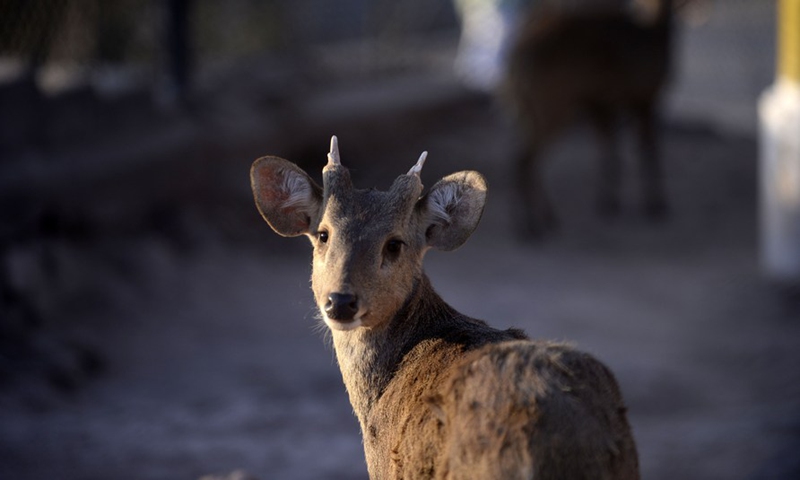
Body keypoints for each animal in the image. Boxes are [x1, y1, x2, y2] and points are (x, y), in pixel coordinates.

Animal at [504, 0, 680, 234]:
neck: (656, 34)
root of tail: (517, 55)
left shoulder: (600, 104)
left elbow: (610, 149)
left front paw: (609, 202)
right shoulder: (644, 96)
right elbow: (648, 149)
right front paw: (656, 204)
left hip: (530, 109)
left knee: (526, 159)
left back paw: (545, 218)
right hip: (553, 104)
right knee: (524, 159)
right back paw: (530, 225)